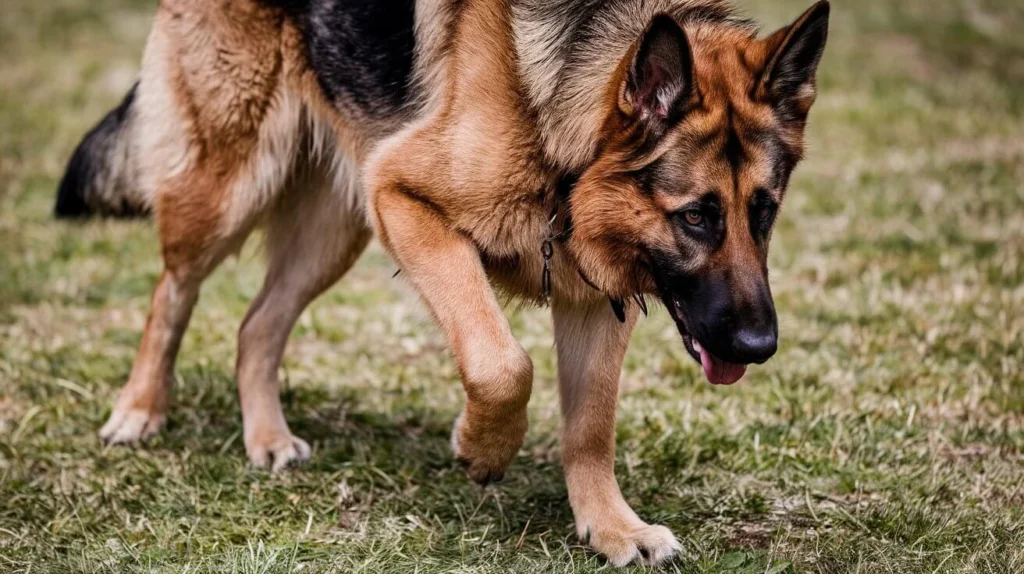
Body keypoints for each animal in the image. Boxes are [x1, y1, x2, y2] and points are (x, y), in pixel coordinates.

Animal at [56, 0, 827, 564]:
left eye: (764, 213)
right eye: (696, 217)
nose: (760, 347)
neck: (559, 105)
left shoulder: (593, 295)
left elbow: (591, 425)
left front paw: (612, 527)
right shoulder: (406, 198)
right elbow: (502, 363)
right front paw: (481, 448)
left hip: (333, 229)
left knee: (256, 325)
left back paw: (267, 437)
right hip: (230, 186)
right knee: (171, 291)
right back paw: (140, 410)